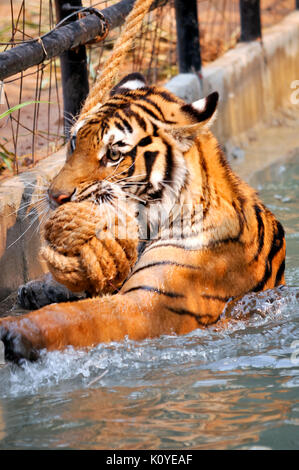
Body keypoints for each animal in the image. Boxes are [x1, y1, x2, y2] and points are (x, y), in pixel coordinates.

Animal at [0, 72, 286, 364]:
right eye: (74, 142)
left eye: (114, 154)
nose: (54, 196)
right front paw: (36, 288)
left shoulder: (151, 303)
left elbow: (80, 314)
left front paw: (17, 329)